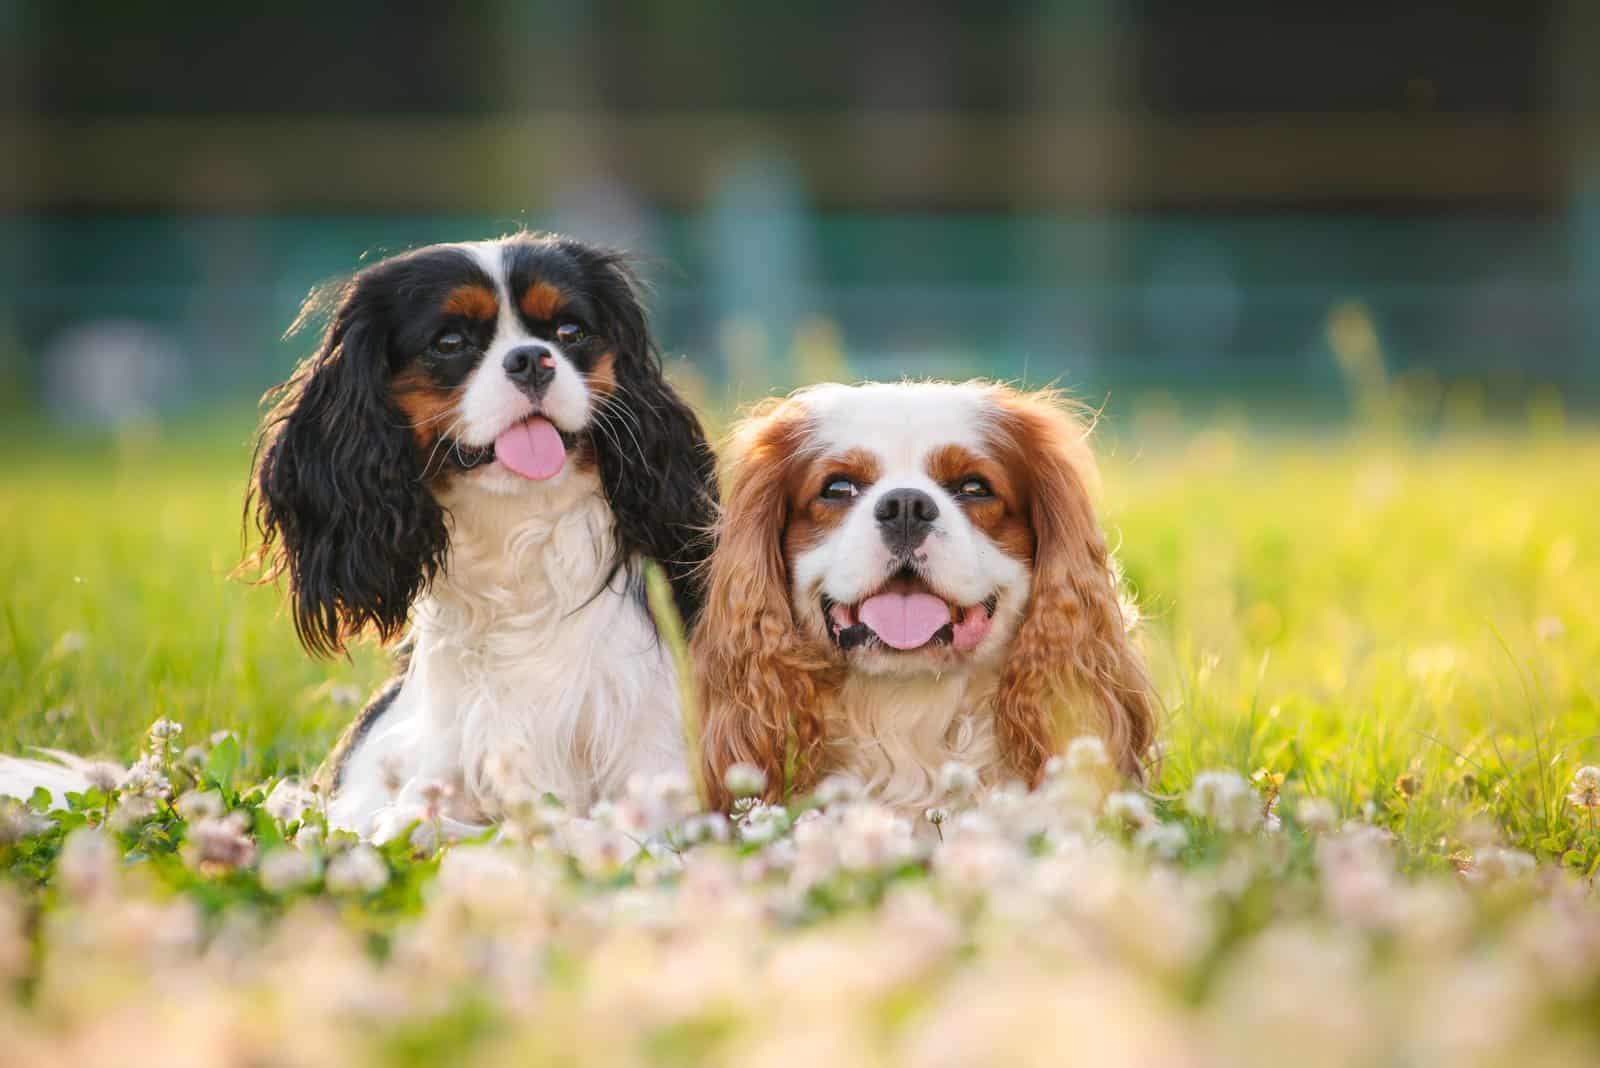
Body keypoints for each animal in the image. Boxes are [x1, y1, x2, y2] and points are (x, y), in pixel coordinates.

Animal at [1, 233, 713, 844]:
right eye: (450, 341)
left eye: (570, 333)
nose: (532, 359)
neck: (519, 542)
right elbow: (402, 818)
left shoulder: (660, 784)